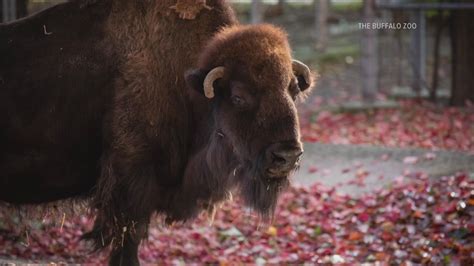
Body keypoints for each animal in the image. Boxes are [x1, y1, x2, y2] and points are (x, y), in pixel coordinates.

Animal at [1, 0, 316, 264]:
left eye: (293, 90)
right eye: (238, 96)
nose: (287, 155)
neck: (187, 85)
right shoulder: (130, 186)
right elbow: (128, 241)